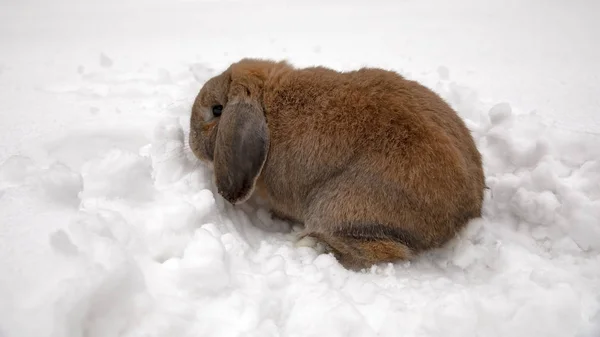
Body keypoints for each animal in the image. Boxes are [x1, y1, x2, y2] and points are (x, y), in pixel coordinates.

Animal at [190, 57, 486, 268]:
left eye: (217, 110)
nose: (191, 144)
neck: (266, 104)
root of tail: (462, 214)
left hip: (339, 205)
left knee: (385, 250)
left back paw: (312, 245)